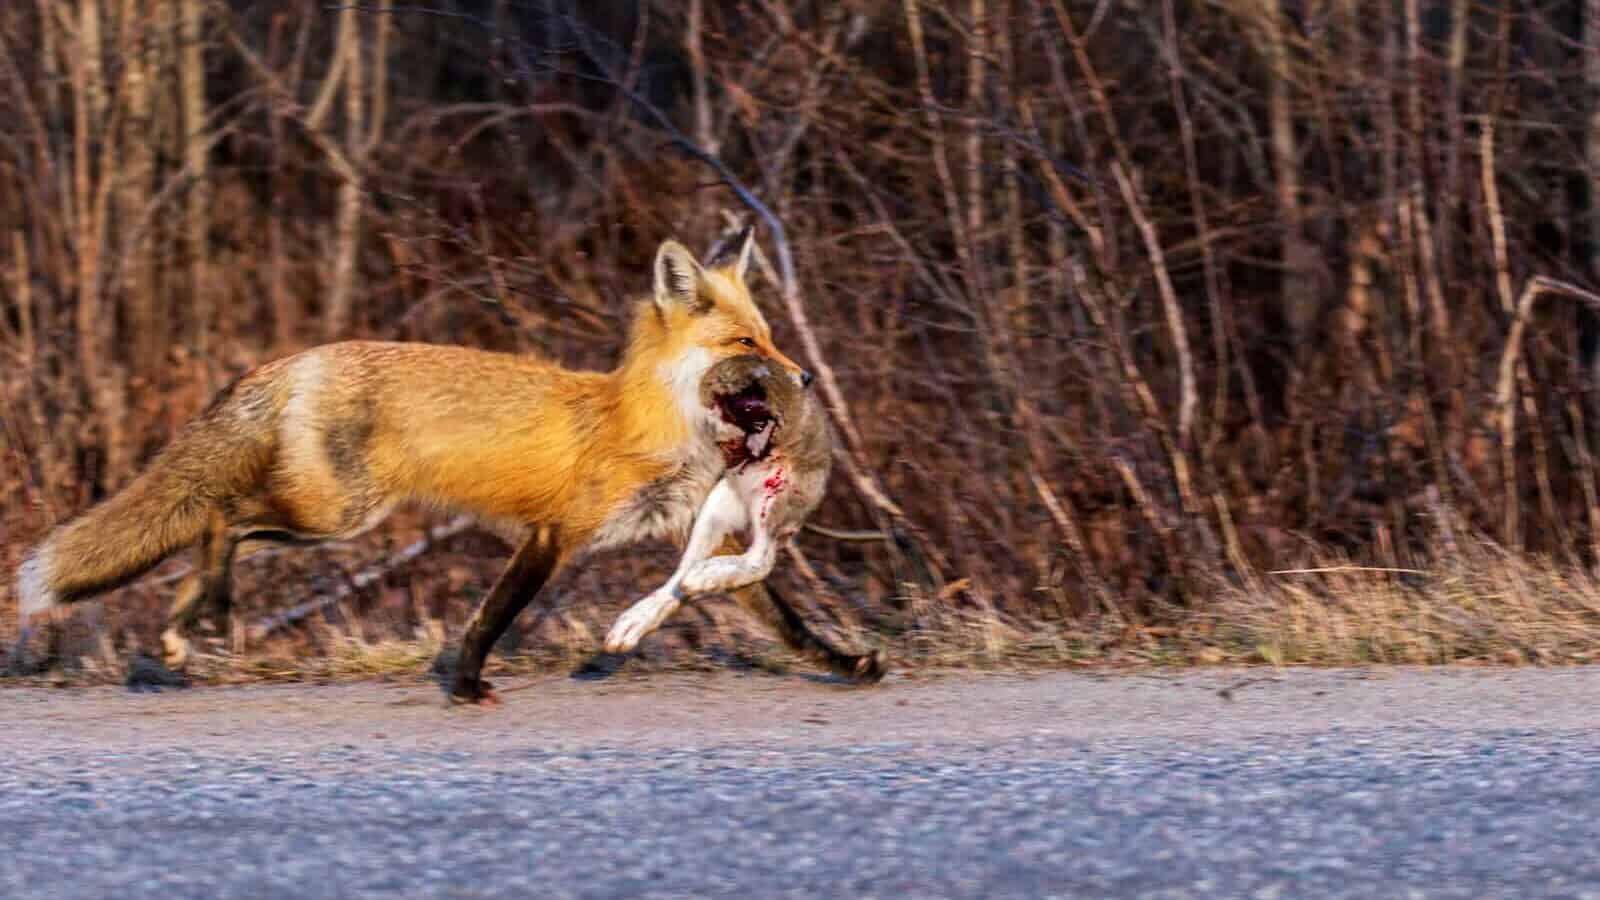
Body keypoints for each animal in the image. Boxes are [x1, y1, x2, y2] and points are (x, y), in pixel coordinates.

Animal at [603, 354, 873, 675]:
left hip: (773, 503)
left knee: (759, 559)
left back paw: (702, 578)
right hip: (718, 505)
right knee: (685, 572)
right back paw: (634, 623)